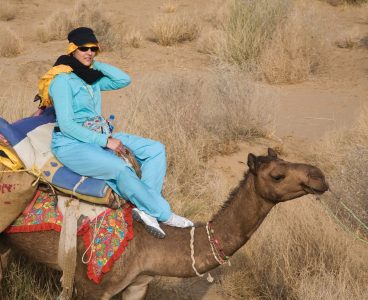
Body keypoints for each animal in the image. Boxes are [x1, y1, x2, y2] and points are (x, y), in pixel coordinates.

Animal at [0, 149, 328, 298]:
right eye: (277, 175)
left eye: (286, 160)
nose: (319, 176)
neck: (151, 243)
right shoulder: (91, 286)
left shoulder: (138, 283)